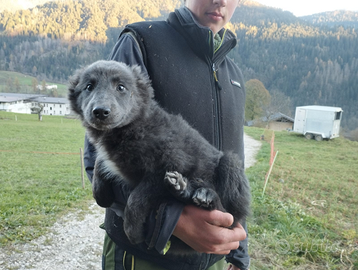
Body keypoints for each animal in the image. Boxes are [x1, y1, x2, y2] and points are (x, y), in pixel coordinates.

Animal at [68, 60, 250, 252]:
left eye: (121, 87)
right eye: (89, 86)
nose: (101, 112)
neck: (134, 126)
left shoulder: (168, 165)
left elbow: (136, 199)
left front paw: (133, 233)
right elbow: (99, 163)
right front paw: (101, 194)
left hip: (231, 165)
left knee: (229, 217)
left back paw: (206, 196)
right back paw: (183, 189)